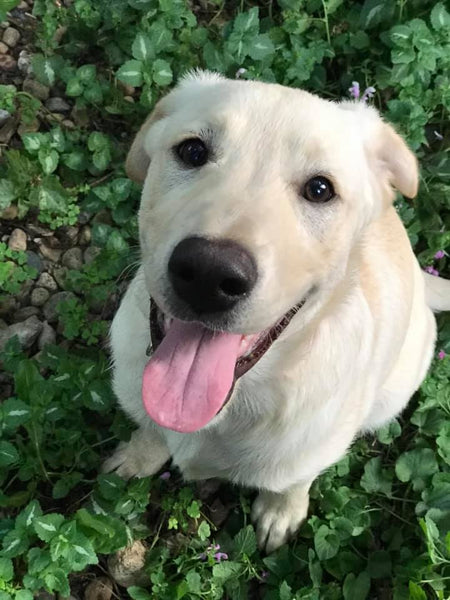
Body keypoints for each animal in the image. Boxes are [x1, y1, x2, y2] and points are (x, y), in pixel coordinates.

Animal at [105, 70, 450, 552]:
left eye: (320, 189)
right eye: (192, 150)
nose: (209, 273)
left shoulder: (314, 450)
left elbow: (293, 481)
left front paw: (280, 513)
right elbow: (151, 431)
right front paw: (137, 456)